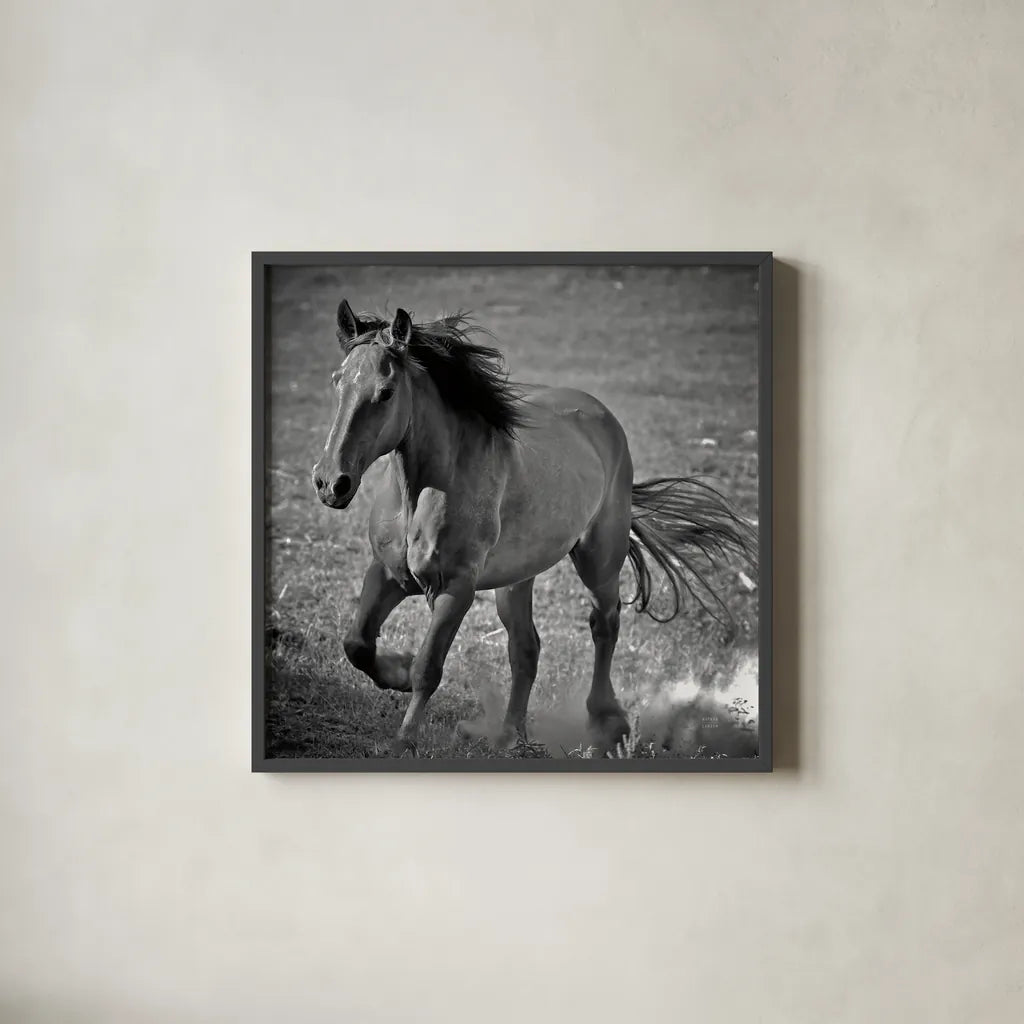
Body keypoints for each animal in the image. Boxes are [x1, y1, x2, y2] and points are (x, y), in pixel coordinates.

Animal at [311, 299, 755, 756]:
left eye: (386, 392)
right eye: (337, 382)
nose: (331, 483)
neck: (424, 490)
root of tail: (603, 418)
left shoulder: (456, 589)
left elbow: (428, 668)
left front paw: (404, 740)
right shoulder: (388, 573)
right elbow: (357, 644)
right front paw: (396, 672)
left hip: (598, 560)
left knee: (604, 624)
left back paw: (606, 724)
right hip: (516, 580)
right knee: (526, 648)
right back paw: (510, 736)